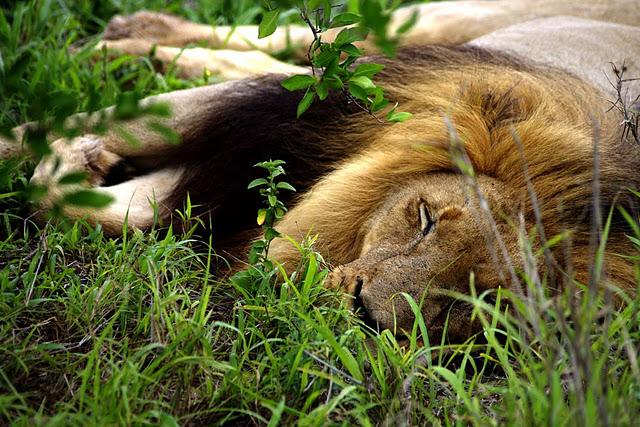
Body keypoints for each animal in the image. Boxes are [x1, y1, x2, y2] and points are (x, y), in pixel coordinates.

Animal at [2, 0, 640, 341]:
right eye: (425, 218)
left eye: (475, 301)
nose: (364, 311)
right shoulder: (284, 122)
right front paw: (68, 148)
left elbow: (119, 212)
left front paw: (85, 162)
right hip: (438, 30)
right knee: (303, 42)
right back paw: (134, 39)